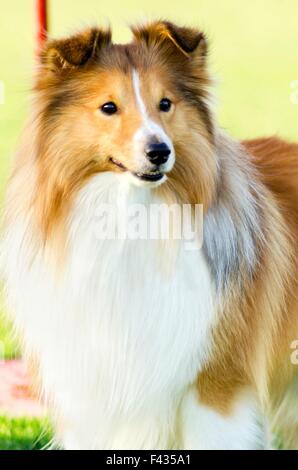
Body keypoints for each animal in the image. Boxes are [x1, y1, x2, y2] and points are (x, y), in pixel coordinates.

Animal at [2, 21, 298, 448]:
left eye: (165, 103)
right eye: (109, 107)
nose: (159, 151)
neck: (129, 216)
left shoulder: (214, 387)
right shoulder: (86, 394)